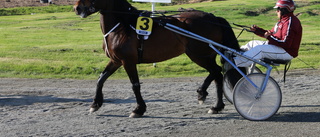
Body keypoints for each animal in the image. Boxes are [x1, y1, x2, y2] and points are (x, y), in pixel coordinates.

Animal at [74, 0, 242, 117]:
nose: (77, 8)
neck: (123, 25)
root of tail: (213, 17)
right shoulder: (116, 60)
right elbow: (101, 79)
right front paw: (95, 104)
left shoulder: (128, 61)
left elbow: (135, 85)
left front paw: (138, 109)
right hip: (204, 54)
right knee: (217, 75)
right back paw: (213, 103)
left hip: (198, 54)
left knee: (216, 71)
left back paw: (207, 97)